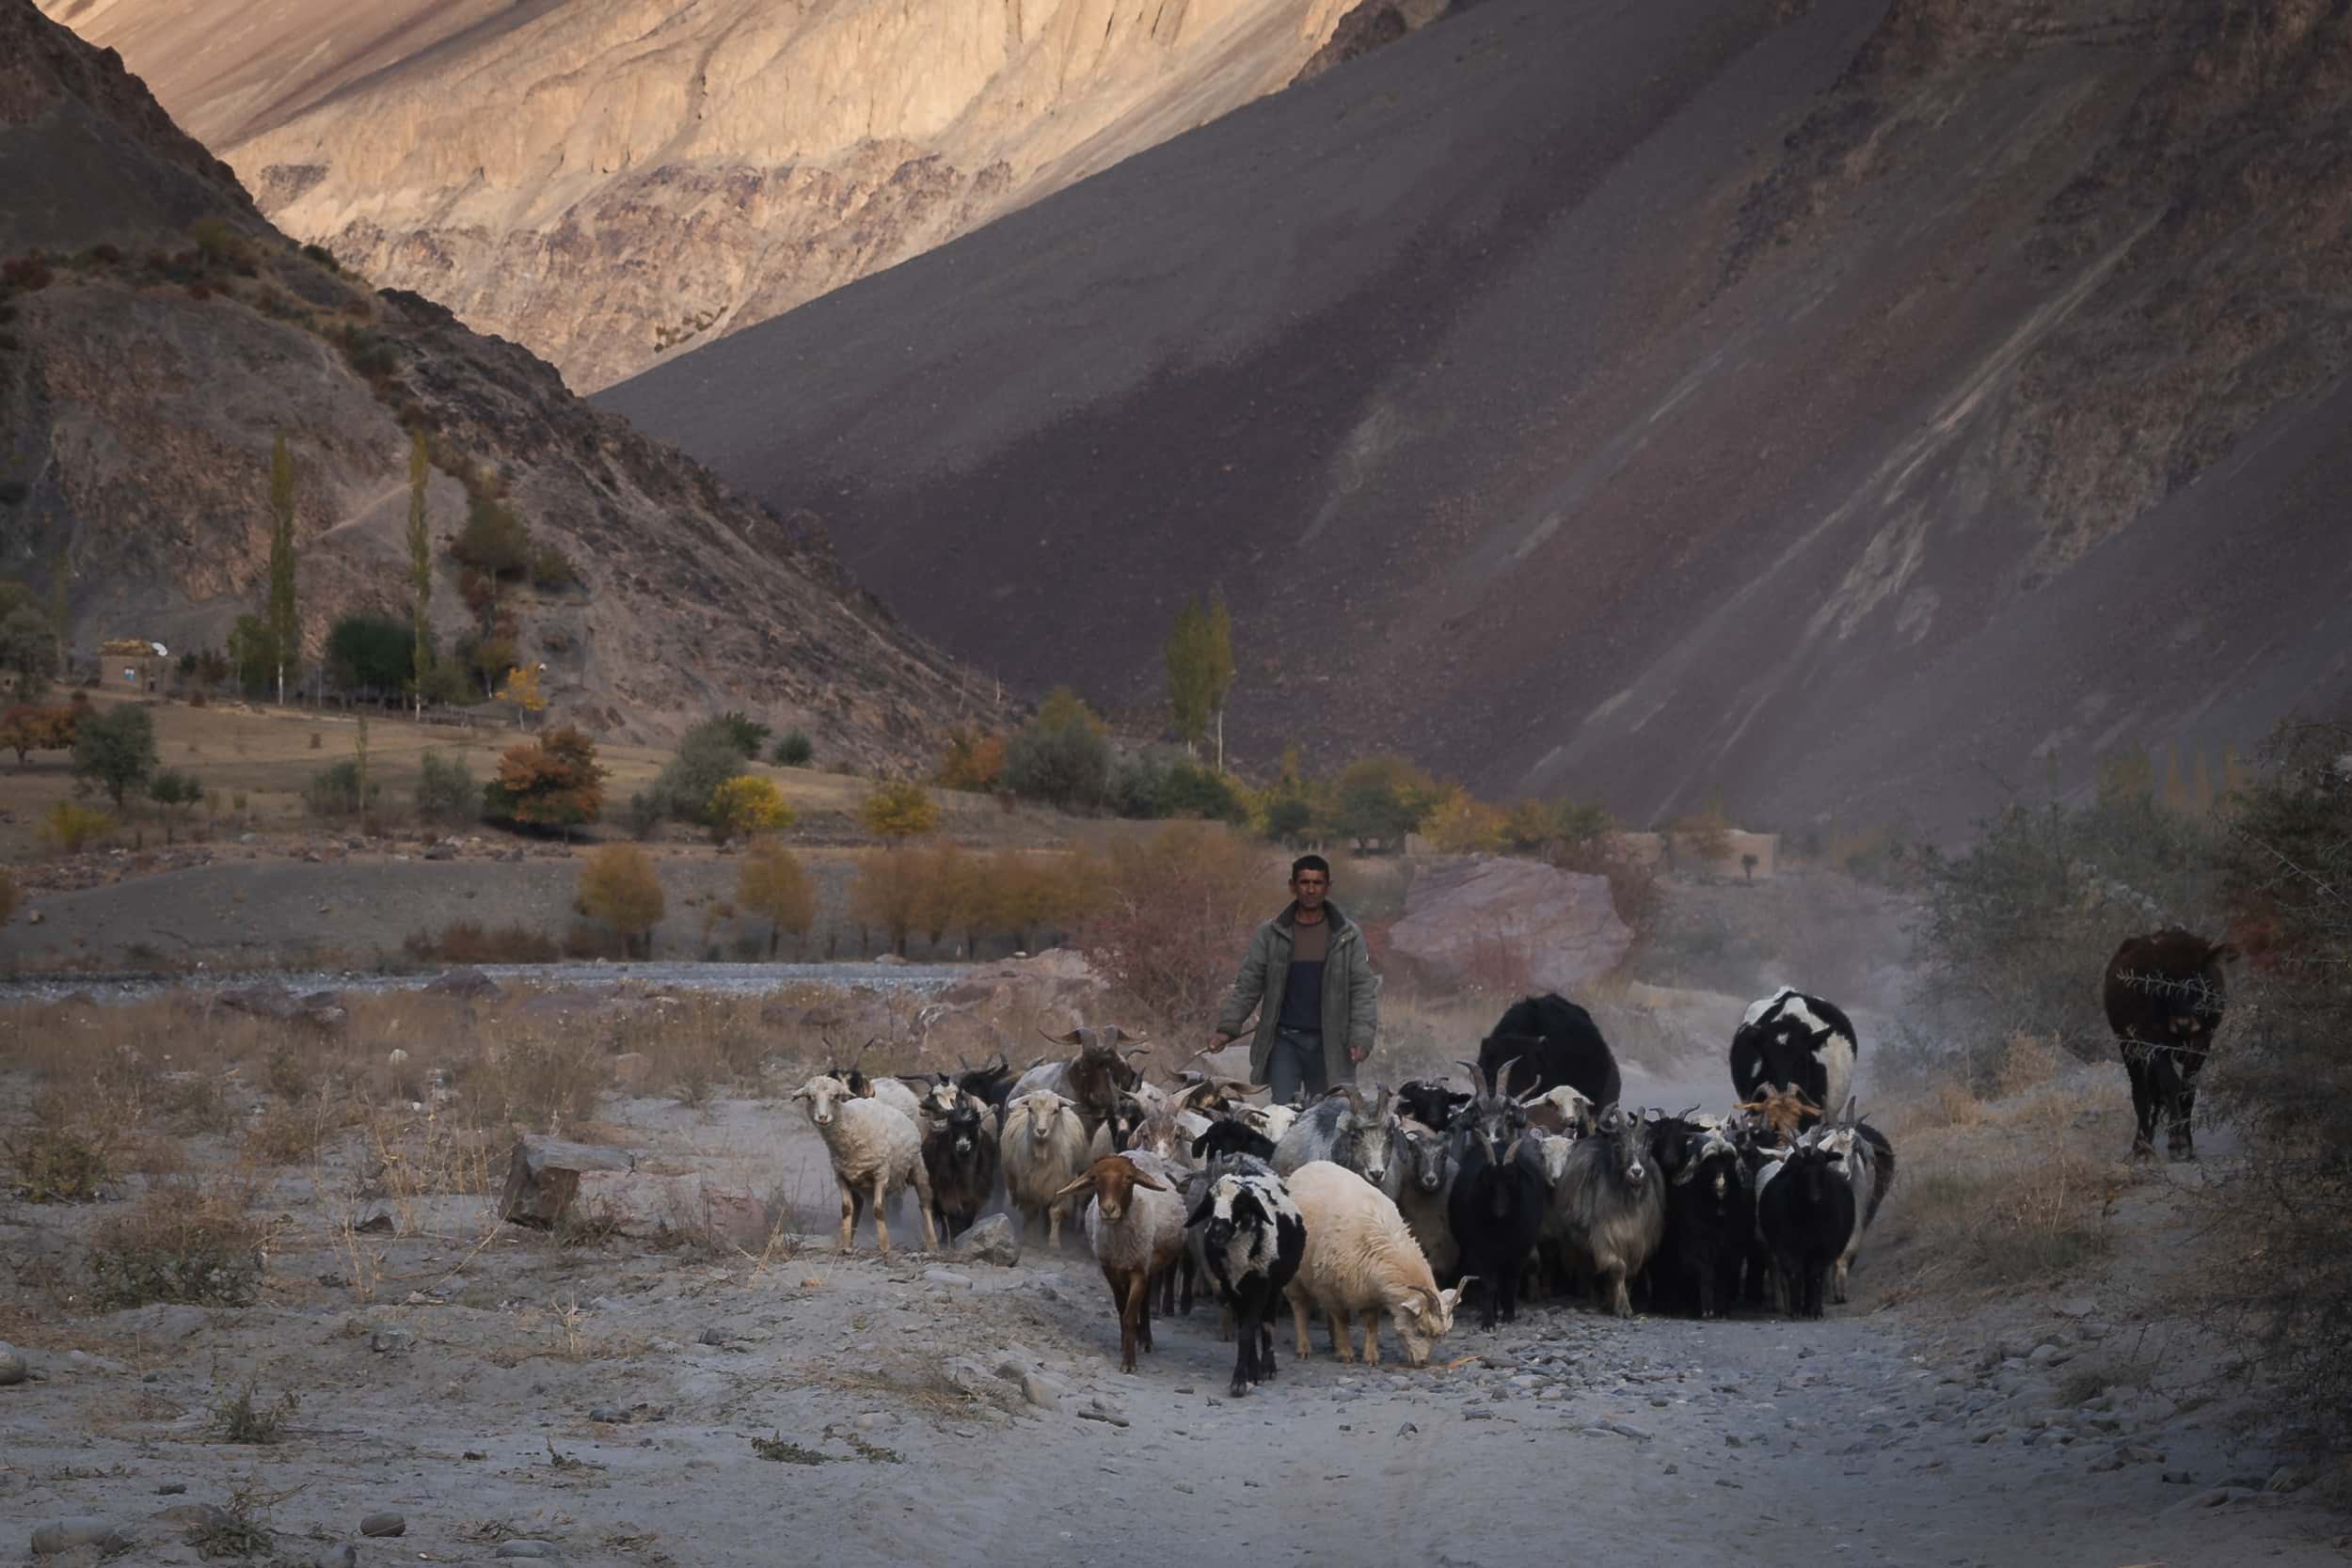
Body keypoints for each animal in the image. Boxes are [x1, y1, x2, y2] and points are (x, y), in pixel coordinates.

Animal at [790, 1071, 936, 1259]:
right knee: (858, 1206)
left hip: (917, 1167)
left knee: (925, 1203)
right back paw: (850, 1240)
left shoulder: (881, 1174)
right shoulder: (841, 1178)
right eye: (810, 1097)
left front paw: (885, 1246)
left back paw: (932, 1244)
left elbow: (878, 1209)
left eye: (834, 1097)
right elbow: (846, 1209)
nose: (822, 1118)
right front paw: (845, 1246)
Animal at [1002, 1090, 1091, 1250]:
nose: (1041, 1131)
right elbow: (1030, 1213)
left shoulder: (1060, 1185)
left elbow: (1055, 1212)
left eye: (1055, 1110)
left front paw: (1054, 1242)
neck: (1043, 1154)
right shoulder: (1027, 1188)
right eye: (1030, 1109)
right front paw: (1030, 1239)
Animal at [1289, 1161, 1449, 1363]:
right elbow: (1342, 1320)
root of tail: (1308, 1166)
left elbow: (1372, 1325)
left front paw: (1371, 1357)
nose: (1422, 1363)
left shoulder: (1370, 1293)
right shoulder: (1330, 1290)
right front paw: (1347, 1354)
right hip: (1296, 1277)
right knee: (1300, 1307)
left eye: (1440, 1336)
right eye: (1420, 1330)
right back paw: (1304, 1348)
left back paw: (1334, 1344)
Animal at [2107, 930, 2230, 1165]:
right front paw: (2177, 1143)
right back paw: (2141, 1146)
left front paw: (2188, 1144)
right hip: (2128, 1047)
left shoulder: (2201, 1046)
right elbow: (2171, 1085)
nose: (2184, 1022)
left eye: (2198, 979)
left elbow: (2187, 1091)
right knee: (2142, 1093)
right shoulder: (2154, 1045)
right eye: (2167, 982)